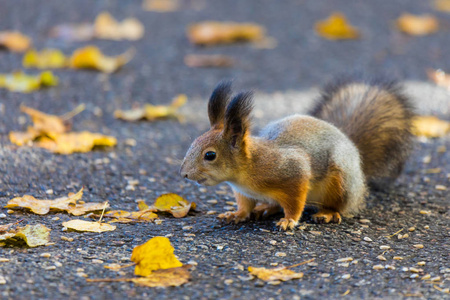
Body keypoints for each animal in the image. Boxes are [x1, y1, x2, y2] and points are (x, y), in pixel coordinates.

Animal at [179, 78, 414, 230]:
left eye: (210, 155)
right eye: (193, 143)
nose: (184, 174)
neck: (249, 167)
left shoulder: (293, 171)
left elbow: (295, 201)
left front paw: (289, 220)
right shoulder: (243, 192)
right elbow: (245, 206)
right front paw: (236, 214)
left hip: (342, 183)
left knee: (340, 205)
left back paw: (327, 213)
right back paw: (266, 207)